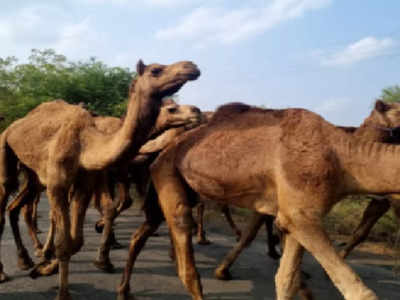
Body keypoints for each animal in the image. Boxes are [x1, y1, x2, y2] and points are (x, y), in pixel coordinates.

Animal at [0, 59, 200, 300]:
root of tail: (16, 123)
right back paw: (8, 270)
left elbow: (76, 240)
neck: (87, 143)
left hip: (33, 175)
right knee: (6, 195)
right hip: (6, 147)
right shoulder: (60, 183)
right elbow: (66, 238)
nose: (191, 67)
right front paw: (66, 289)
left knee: (15, 206)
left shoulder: (86, 182)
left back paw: (26, 259)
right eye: (156, 70)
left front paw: (46, 268)